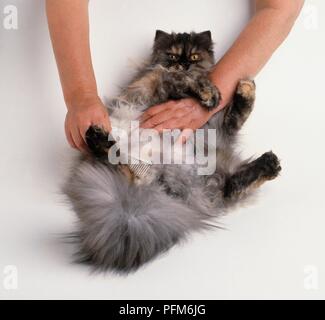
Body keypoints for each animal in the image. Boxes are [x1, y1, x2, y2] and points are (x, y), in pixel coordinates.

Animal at [62, 30, 280, 272]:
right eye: (173, 56)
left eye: (194, 56)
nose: (184, 64)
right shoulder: (160, 80)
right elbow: (182, 79)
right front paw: (208, 92)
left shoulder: (214, 124)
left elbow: (233, 115)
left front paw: (231, 90)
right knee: (119, 163)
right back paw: (96, 137)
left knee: (232, 184)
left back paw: (269, 162)